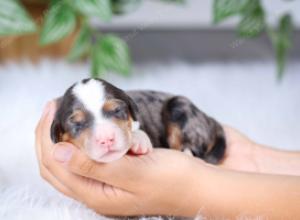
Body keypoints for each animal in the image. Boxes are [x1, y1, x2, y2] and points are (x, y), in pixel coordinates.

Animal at [51, 78, 225, 163]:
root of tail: (210, 120)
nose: (106, 139)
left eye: (117, 110)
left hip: (179, 107)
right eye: (77, 124)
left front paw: (138, 140)